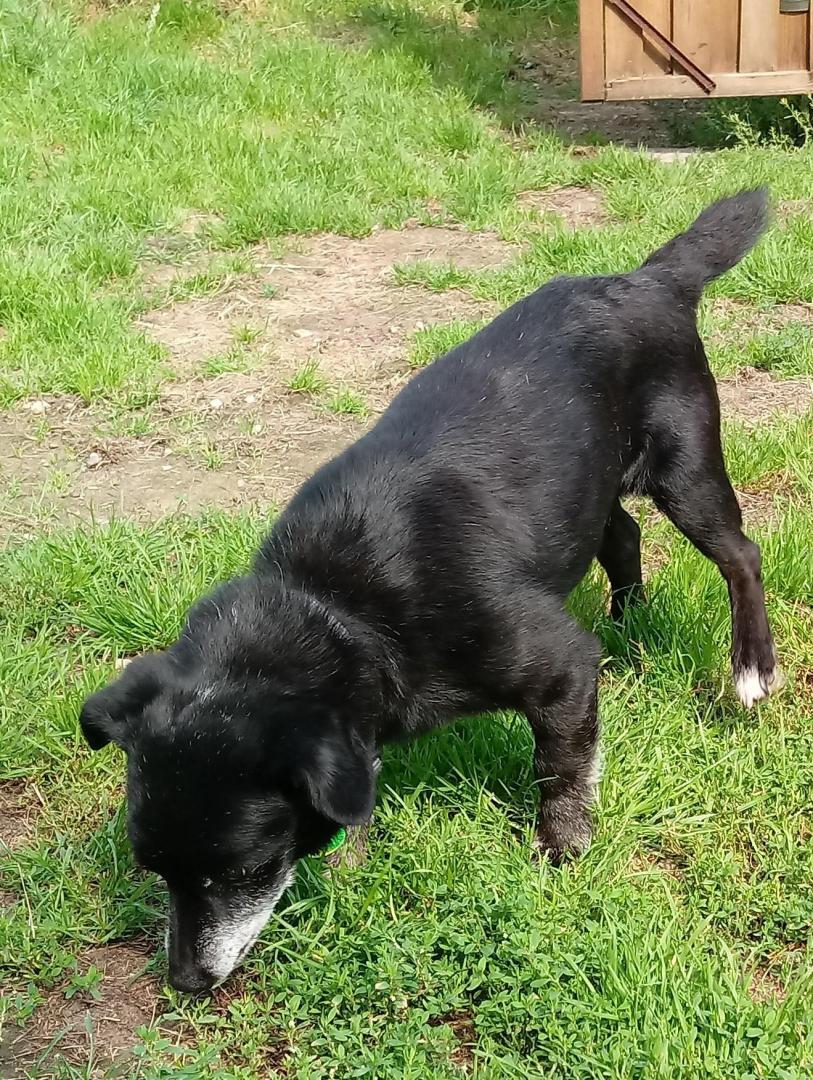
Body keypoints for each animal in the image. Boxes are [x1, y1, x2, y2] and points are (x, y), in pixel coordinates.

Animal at [80, 189, 782, 993]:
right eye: (153, 869)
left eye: (242, 868)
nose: (185, 981)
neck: (336, 605)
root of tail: (648, 279)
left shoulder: (560, 668)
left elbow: (560, 768)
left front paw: (560, 851)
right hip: (591, 488)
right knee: (625, 536)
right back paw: (629, 625)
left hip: (686, 468)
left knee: (741, 556)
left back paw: (751, 667)